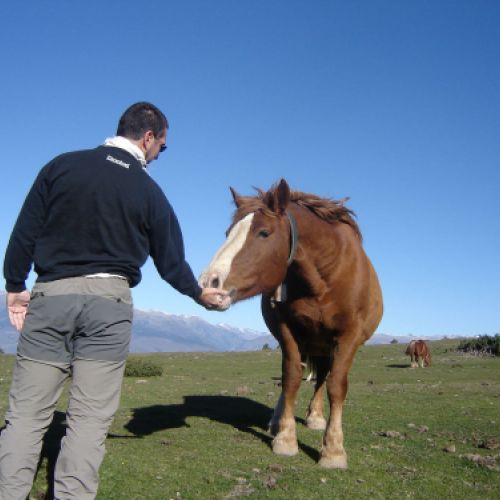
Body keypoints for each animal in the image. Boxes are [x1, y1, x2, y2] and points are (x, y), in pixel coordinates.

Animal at [199, 180, 382, 468]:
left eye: (264, 232)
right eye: (228, 233)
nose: (209, 284)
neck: (324, 280)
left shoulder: (348, 336)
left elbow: (336, 385)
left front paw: (333, 450)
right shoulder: (288, 330)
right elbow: (291, 377)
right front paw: (285, 438)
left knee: (322, 378)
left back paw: (316, 417)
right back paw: (278, 420)